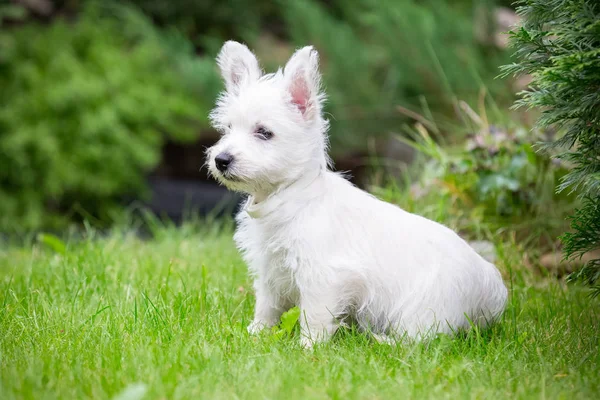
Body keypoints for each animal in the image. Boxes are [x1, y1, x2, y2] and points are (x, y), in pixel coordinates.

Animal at [206, 41, 506, 346]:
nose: (221, 159)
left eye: (264, 132)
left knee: (417, 340)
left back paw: (380, 340)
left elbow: (314, 316)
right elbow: (267, 306)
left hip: (423, 308)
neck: (289, 196)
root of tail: (490, 291)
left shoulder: (324, 277)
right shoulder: (270, 270)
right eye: (228, 129)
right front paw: (256, 333)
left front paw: (308, 347)